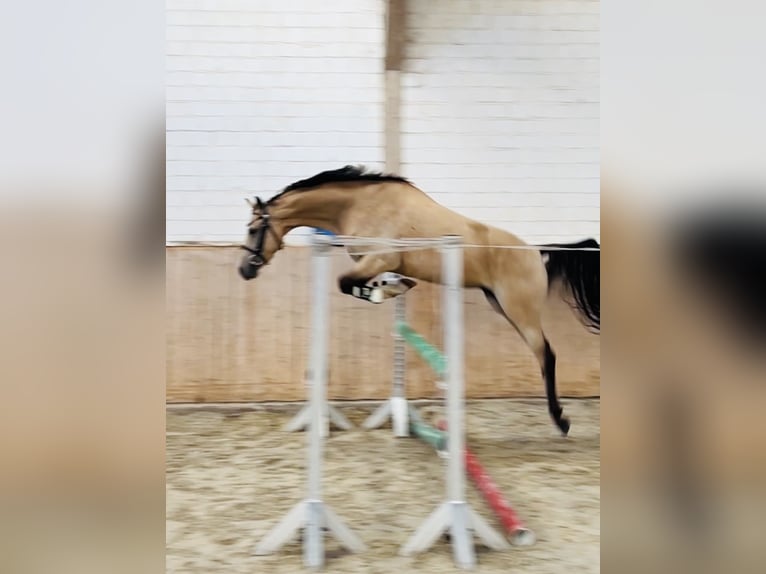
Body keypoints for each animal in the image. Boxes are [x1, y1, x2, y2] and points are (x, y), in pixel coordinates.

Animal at [238, 165, 600, 436]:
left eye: (254, 229)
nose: (244, 269)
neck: (358, 204)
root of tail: (537, 252)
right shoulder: (379, 263)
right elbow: (372, 282)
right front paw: (396, 287)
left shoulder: (378, 258)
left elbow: (347, 284)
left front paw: (383, 292)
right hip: (500, 304)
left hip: (519, 310)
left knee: (546, 355)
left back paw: (560, 420)